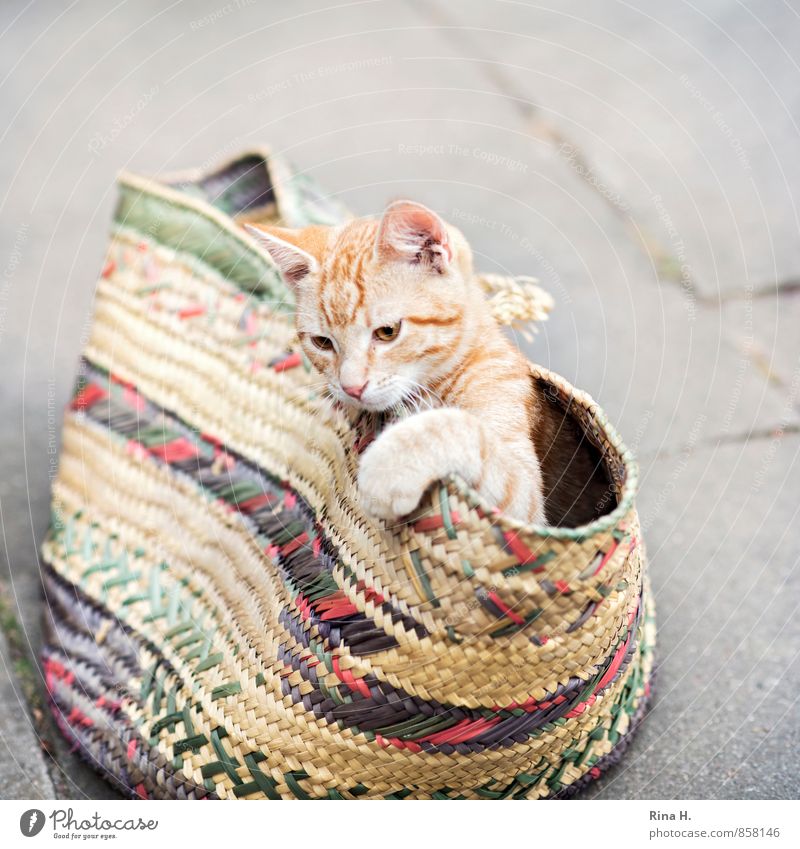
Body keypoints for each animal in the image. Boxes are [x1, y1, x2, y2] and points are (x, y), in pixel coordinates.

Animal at [244, 202, 548, 528]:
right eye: (322, 342)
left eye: (387, 332)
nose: (352, 387)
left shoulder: (525, 506)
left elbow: (459, 426)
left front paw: (389, 468)